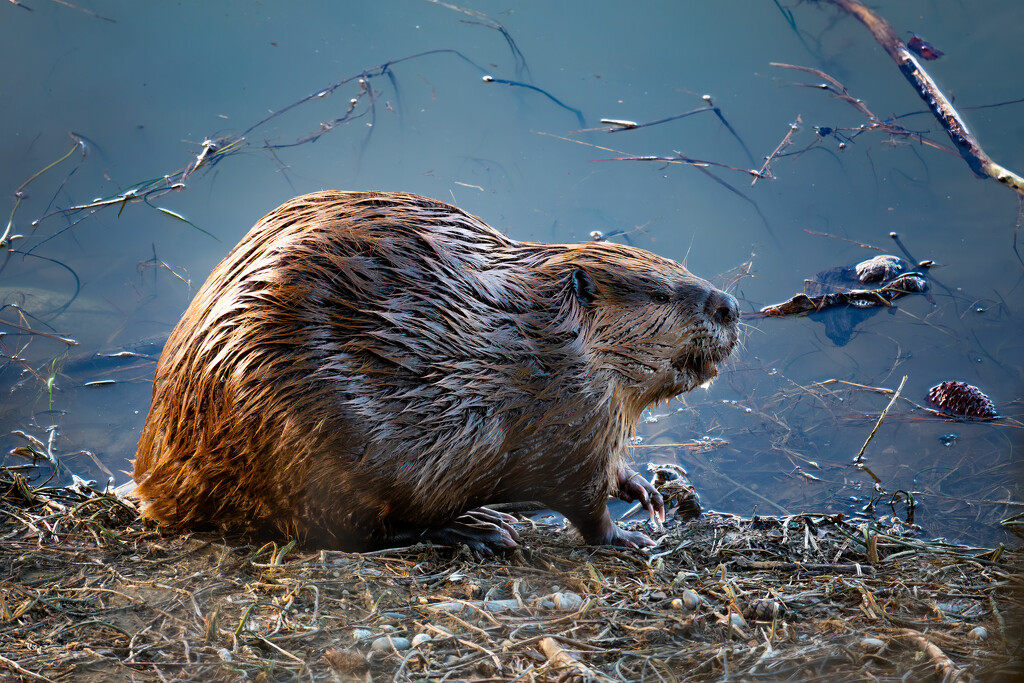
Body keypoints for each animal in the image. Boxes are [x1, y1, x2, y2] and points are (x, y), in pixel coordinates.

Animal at [136, 191, 741, 548]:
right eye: (660, 294)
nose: (730, 307)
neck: (545, 332)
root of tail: (152, 482)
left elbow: (610, 473)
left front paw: (646, 493)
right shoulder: (573, 413)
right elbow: (581, 497)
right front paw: (628, 538)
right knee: (358, 530)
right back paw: (480, 528)